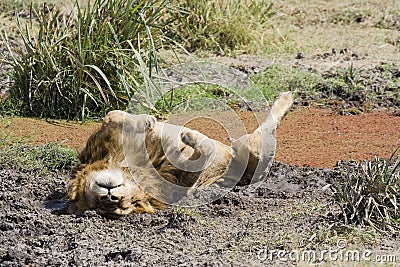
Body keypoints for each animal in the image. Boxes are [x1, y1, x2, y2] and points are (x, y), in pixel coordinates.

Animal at [67, 92, 294, 218]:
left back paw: (285, 97)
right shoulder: (180, 185)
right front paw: (188, 136)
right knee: (266, 130)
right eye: (121, 206)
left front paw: (146, 121)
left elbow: (112, 115)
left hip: (246, 147)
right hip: (253, 148)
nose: (110, 197)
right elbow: (205, 155)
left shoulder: (101, 142)